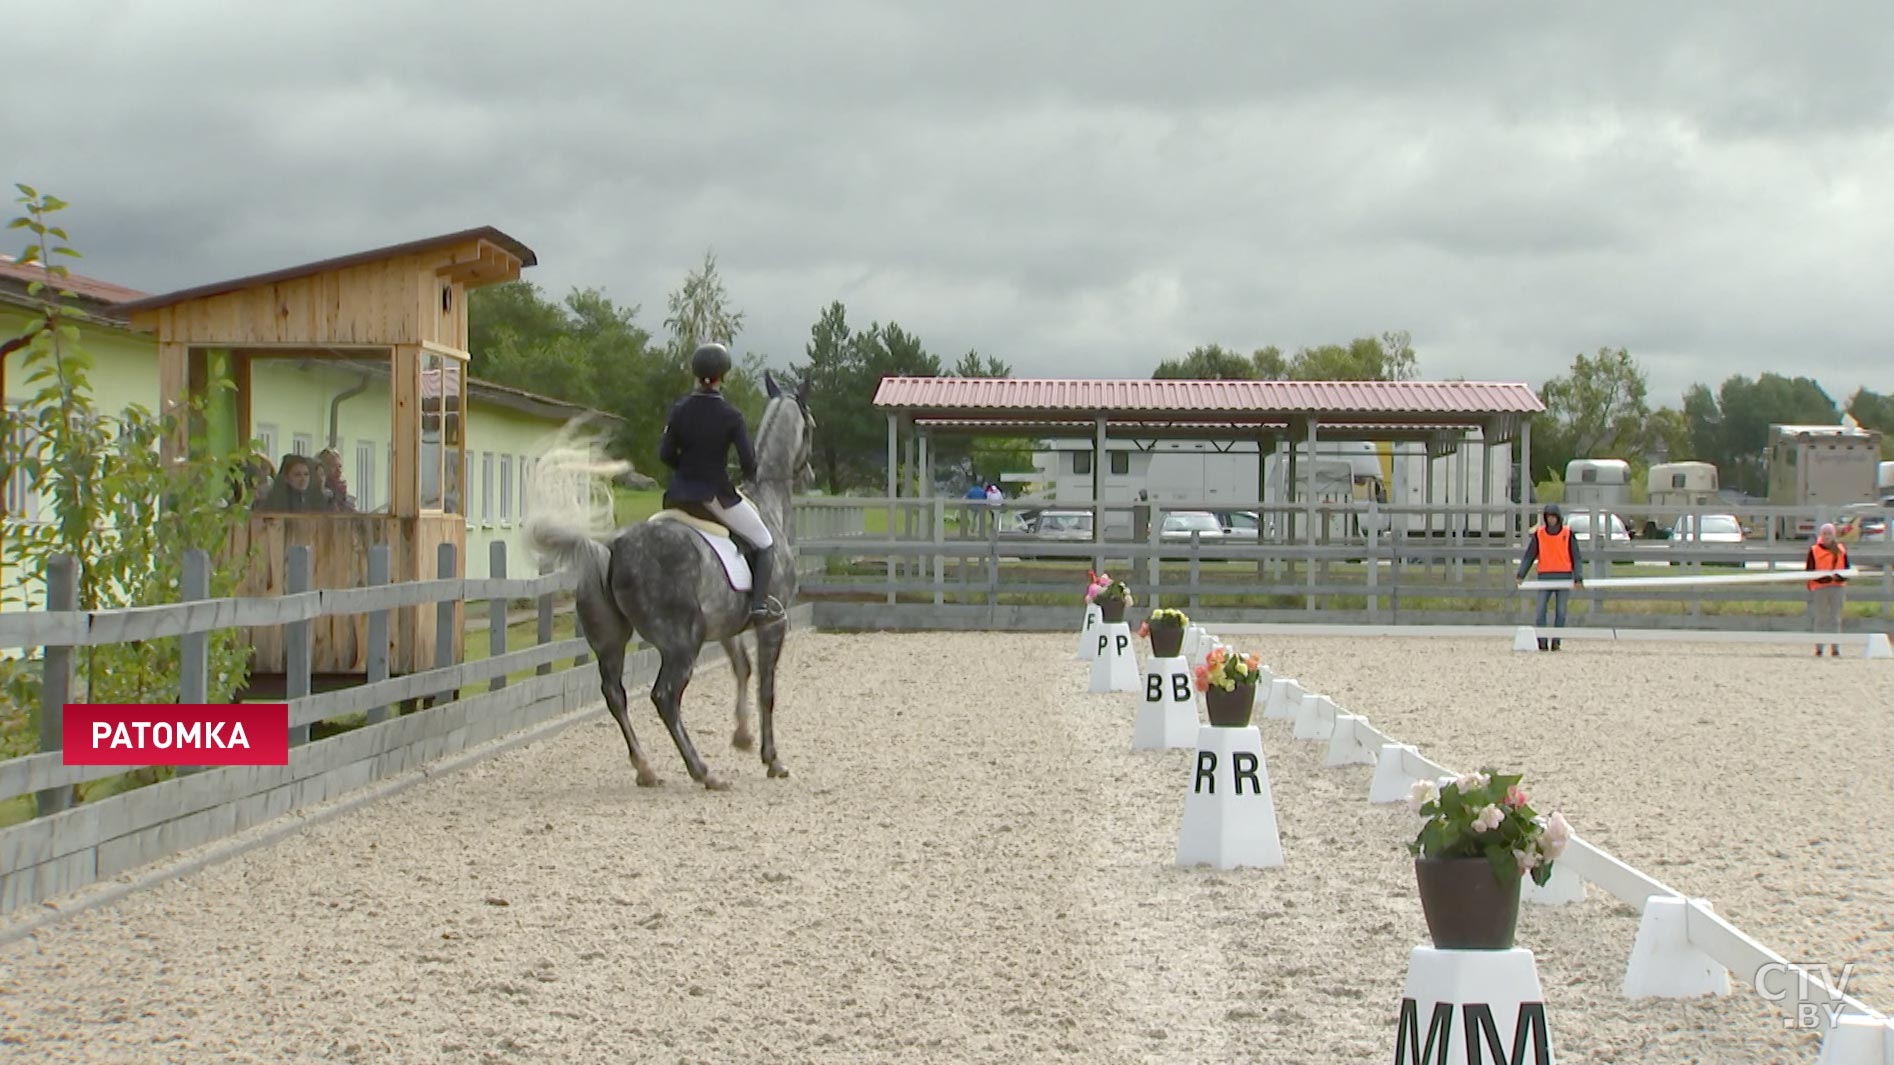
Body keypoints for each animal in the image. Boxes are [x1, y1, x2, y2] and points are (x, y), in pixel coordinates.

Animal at [526, 373, 814, 788]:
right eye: (812, 426)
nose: (810, 475)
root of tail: (612, 548)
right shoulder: (773, 623)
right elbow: (766, 689)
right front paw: (772, 759)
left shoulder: (726, 624)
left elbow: (741, 668)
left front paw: (741, 737)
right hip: (681, 642)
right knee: (665, 697)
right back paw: (702, 771)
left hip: (610, 640)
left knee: (615, 694)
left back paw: (646, 768)